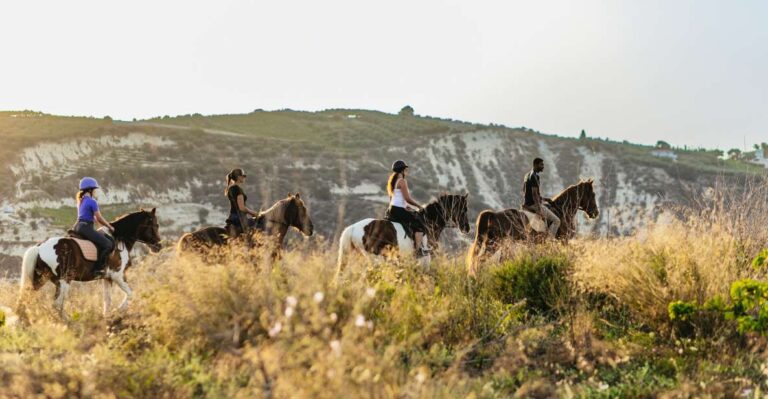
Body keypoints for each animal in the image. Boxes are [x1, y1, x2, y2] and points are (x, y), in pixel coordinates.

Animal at [18, 208, 162, 318]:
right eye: (155, 225)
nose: (159, 246)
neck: (119, 238)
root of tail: (39, 247)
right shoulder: (118, 275)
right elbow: (131, 294)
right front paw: (119, 310)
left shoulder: (107, 278)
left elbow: (107, 300)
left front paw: (107, 316)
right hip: (63, 281)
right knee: (57, 304)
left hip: (40, 279)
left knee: (26, 299)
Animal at [338, 194, 474, 276]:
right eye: (464, 209)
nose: (466, 228)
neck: (427, 221)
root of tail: (352, 228)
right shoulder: (425, 258)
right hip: (374, 257)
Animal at [468, 180, 600, 276]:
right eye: (593, 195)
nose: (595, 213)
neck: (563, 210)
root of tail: (493, 215)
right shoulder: (564, 240)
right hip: (495, 243)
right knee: (480, 260)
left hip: (495, 243)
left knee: (481, 260)